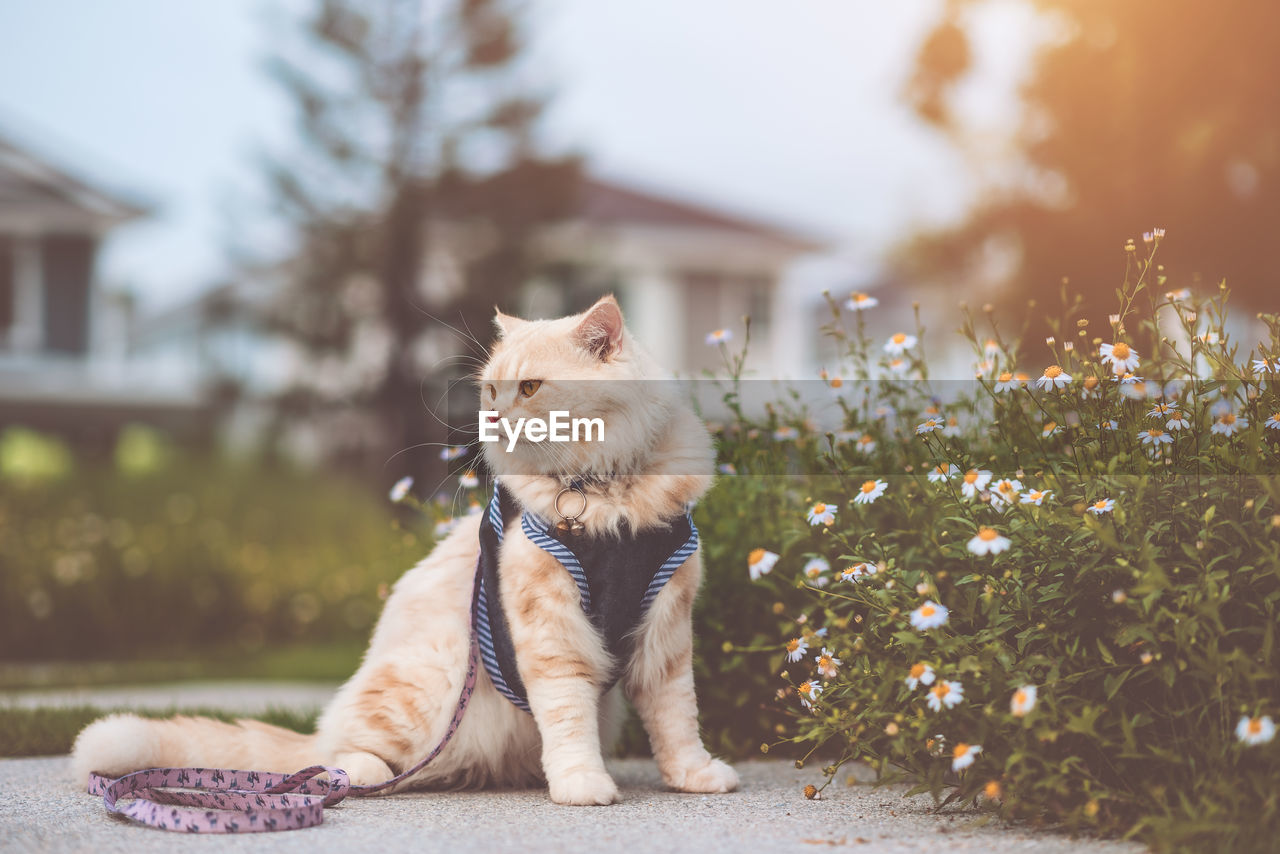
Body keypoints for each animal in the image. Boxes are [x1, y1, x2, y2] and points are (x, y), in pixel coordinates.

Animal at [74, 295, 742, 809]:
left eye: (529, 388)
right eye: (491, 390)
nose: (492, 419)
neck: (604, 495)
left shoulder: (666, 629)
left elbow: (677, 719)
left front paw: (693, 777)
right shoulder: (553, 635)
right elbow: (569, 718)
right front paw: (582, 784)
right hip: (425, 684)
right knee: (340, 758)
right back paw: (362, 776)